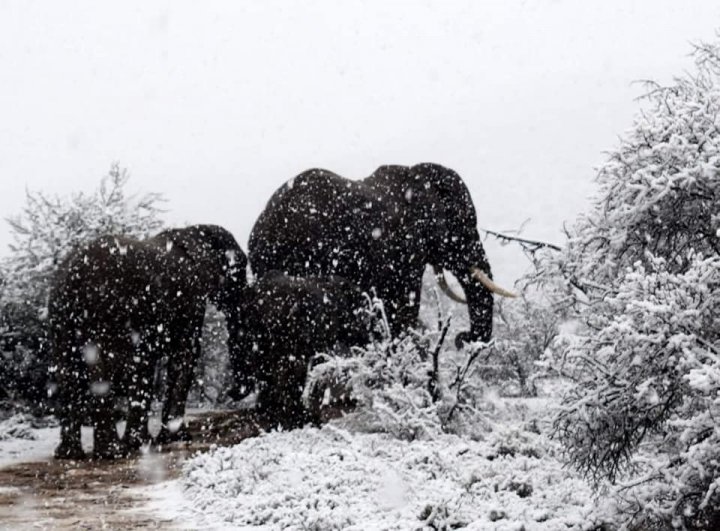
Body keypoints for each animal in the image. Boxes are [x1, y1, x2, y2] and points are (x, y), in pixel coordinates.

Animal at [47, 224, 246, 462]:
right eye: (241, 268)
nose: (232, 393)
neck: (192, 231)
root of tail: (72, 277)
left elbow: (145, 366)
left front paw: (144, 442)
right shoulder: (189, 299)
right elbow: (184, 355)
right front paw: (173, 438)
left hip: (61, 317)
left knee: (68, 372)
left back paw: (69, 455)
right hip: (104, 313)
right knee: (100, 370)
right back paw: (113, 453)